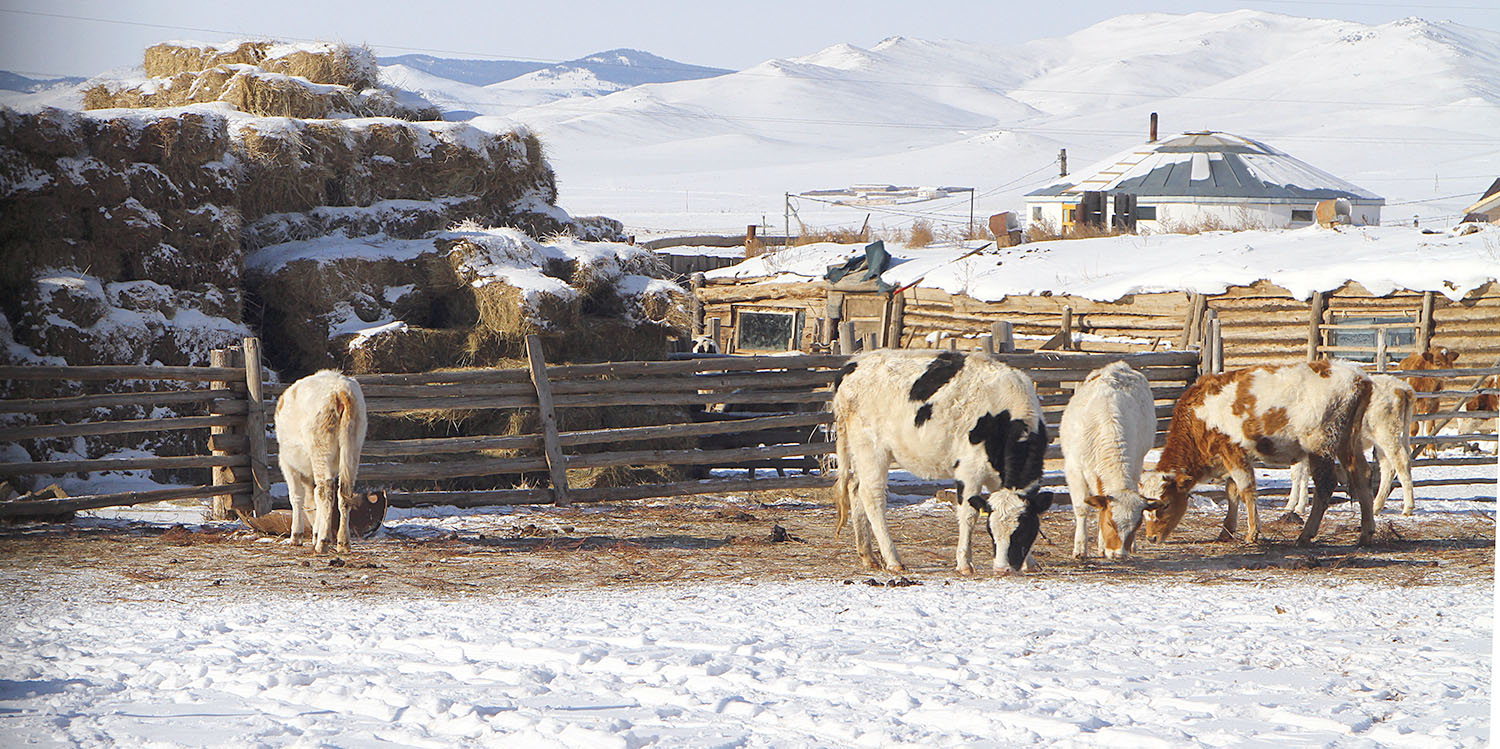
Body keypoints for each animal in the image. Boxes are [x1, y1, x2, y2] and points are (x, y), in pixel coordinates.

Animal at [276, 370, 369, 555]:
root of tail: (341, 389)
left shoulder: (287, 463)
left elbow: (296, 497)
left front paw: (297, 536)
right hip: (353, 450)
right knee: (344, 493)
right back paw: (343, 542)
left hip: (320, 450)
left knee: (325, 492)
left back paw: (323, 543)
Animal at [834, 349, 1056, 573]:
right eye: (991, 532)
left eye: (1022, 531)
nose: (1003, 569)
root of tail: (856, 361)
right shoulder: (969, 470)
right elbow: (968, 515)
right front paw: (964, 563)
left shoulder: (997, 479)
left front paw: (1030, 562)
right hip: (871, 449)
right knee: (872, 497)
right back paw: (893, 559)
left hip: (859, 452)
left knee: (855, 489)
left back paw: (868, 556)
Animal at [1056, 360, 1158, 561]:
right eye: (1111, 523)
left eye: (1137, 526)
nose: (1119, 555)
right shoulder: (1074, 470)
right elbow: (1082, 508)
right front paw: (1080, 549)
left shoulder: (1135, 465)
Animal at [1140, 360, 1374, 549]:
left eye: (1166, 504)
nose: (1151, 537)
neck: (1197, 416)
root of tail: (1358, 377)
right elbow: (1232, 491)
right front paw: (1226, 530)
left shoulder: (1232, 450)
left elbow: (1245, 489)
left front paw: (1252, 533)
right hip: (1349, 443)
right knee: (1363, 476)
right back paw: (1366, 533)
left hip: (1319, 446)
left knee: (1325, 486)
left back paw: (1306, 535)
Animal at [1290, 375, 1416, 516]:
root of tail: (1402, 387)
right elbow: (1302, 473)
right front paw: (1299, 505)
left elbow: (1298, 473)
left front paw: (1293, 505)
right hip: (1381, 441)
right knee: (1388, 467)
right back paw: (1376, 506)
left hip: (1387, 434)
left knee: (1402, 462)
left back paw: (1407, 507)